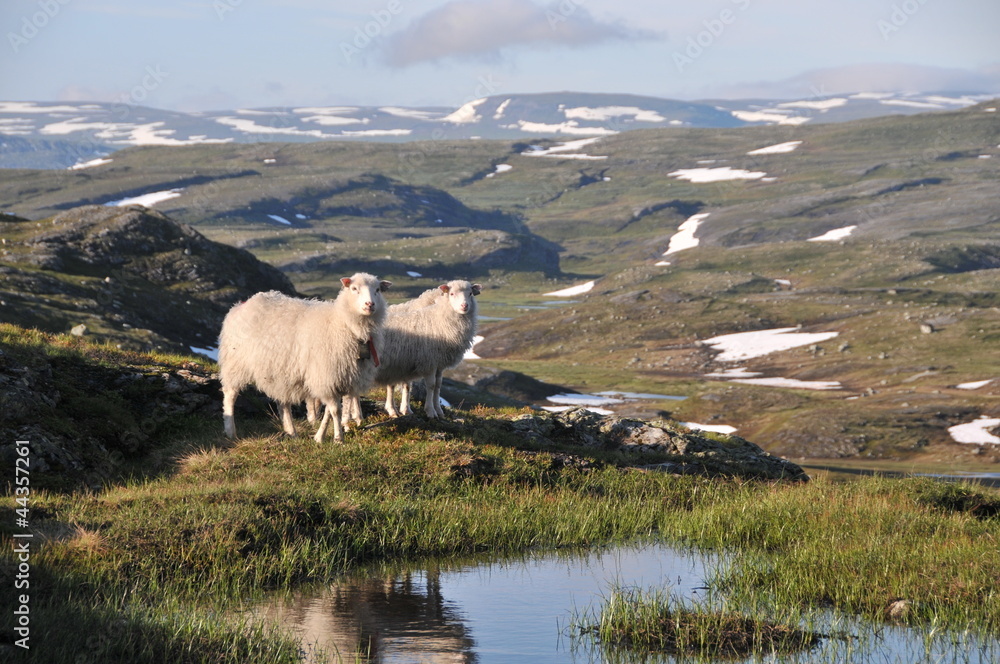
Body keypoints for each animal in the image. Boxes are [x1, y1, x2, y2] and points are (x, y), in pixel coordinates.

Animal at [218, 273, 391, 443]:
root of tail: (241, 305)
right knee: (230, 395)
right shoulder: (326, 376)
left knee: (282, 402)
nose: (370, 304)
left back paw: (291, 431)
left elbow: (329, 411)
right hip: (235, 362)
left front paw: (320, 437)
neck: (344, 324)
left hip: (279, 369)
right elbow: (335, 410)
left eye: (377, 290)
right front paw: (338, 438)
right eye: (354, 289)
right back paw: (230, 431)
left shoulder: (341, 378)